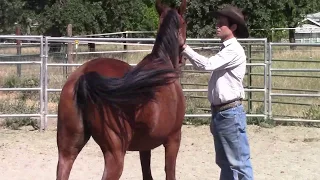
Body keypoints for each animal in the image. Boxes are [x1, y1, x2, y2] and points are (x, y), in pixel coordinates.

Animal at [55, 0, 188, 180]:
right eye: (185, 23)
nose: (182, 60)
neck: (162, 62)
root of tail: (85, 76)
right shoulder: (173, 139)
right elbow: (169, 171)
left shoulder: (145, 146)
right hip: (115, 155)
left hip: (67, 150)